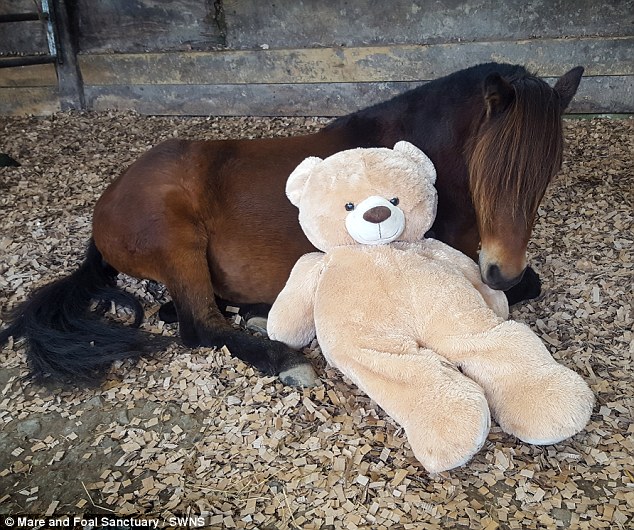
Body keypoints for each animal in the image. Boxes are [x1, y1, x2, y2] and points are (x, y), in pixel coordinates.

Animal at [1, 62, 584, 386]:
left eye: (552, 169)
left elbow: (528, 285)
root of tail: (109, 200)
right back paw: (281, 356)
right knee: (198, 325)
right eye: (491, 170)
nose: (502, 269)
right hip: (176, 237)